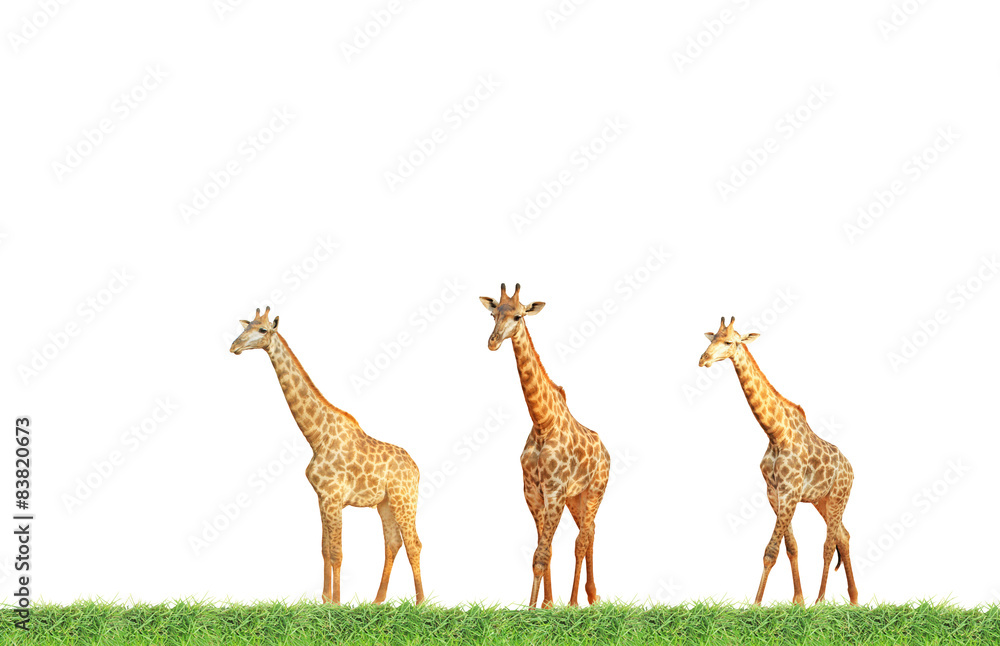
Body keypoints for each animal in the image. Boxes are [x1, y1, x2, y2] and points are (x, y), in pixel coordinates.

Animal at [230, 307, 424, 605]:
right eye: (245, 327)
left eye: (262, 330)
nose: (234, 346)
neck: (316, 436)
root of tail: (416, 469)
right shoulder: (321, 497)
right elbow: (323, 549)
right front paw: (324, 600)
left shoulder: (333, 497)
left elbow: (337, 552)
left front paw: (338, 603)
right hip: (385, 503)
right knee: (393, 543)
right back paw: (378, 601)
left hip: (404, 499)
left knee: (414, 543)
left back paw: (421, 603)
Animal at [480, 283, 611, 608]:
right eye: (493, 314)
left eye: (518, 315)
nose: (492, 342)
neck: (542, 423)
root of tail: (606, 452)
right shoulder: (533, 492)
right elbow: (543, 551)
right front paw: (546, 605)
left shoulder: (554, 491)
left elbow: (542, 554)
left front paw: (533, 608)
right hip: (577, 497)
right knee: (590, 531)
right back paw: (592, 596)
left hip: (596, 490)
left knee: (582, 539)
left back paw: (576, 602)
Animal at [699, 317, 858, 606]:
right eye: (711, 338)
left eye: (730, 342)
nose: (703, 360)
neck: (775, 433)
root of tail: (851, 469)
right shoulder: (774, 492)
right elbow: (790, 547)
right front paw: (798, 600)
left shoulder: (790, 490)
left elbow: (771, 550)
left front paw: (756, 605)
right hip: (822, 500)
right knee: (843, 536)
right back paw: (853, 600)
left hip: (839, 496)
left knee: (829, 544)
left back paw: (821, 602)